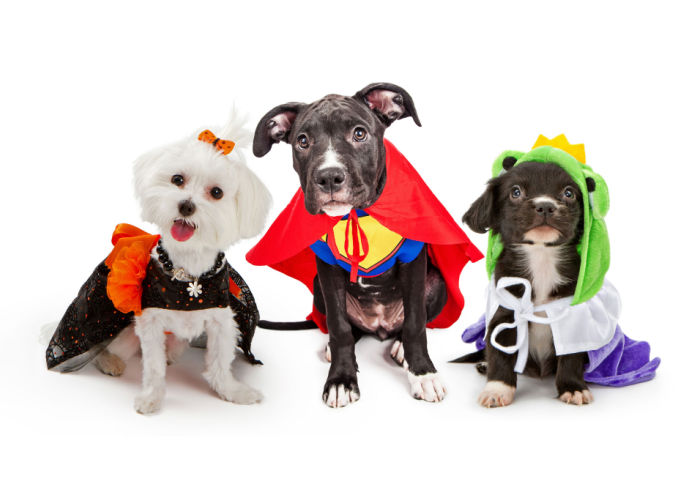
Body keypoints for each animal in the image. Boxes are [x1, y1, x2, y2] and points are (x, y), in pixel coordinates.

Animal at [95, 109, 274, 414]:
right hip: (128, 333)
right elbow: (153, 367)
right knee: (110, 349)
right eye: (177, 179)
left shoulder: (221, 322)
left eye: (217, 193)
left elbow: (219, 363)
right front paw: (151, 398)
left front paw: (233, 392)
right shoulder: (150, 322)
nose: (186, 205)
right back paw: (110, 362)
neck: (188, 275)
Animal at [462, 158, 592, 408]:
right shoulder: (506, 313)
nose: (545, 206)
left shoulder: (571, 318)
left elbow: (571, 356)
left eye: (569, 193)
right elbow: (500, 355)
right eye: (516, 192)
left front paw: (573, 387)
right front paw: (497, 389)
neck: (541, 258)